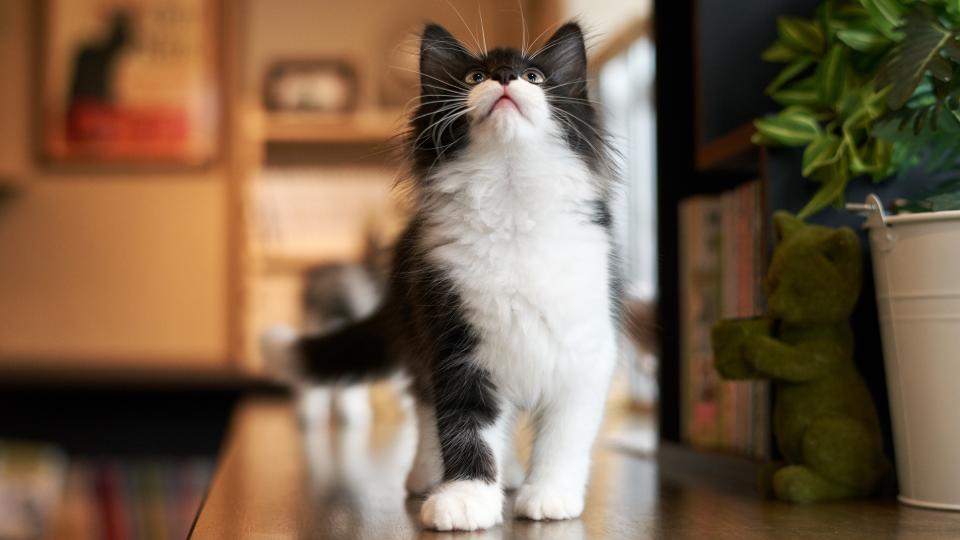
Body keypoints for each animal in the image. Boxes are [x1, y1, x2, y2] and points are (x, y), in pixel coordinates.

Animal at [264, 22, 624, 532]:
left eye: (534, 76)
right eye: (475, 76)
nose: (506, 76)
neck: (511, 200)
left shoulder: (585, 348)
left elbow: (564, 436)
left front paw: (550, 495)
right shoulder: (454, 341)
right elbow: (464, 424)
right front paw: (467, 496)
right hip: (419, 334)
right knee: (424, 406)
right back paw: (427, 475)